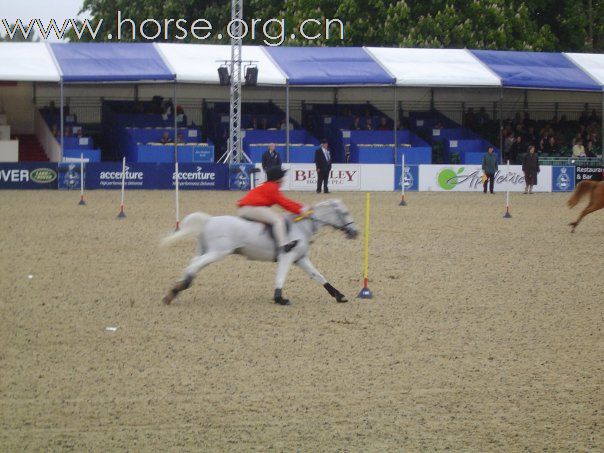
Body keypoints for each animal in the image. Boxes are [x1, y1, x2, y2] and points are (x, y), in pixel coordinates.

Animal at [162, 198, 358, 304]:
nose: (355, 233)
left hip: (206, 250)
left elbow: (319, 276)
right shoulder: (287, 257)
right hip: (218, 252)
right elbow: (281, 277)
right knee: (194, 265)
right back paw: (180, 286)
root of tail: (209, 220)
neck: (302, 227)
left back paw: (177, 289)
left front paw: (339, 295)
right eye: (345, 213)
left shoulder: (301, 258)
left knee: (193, 263)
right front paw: (279, 298)